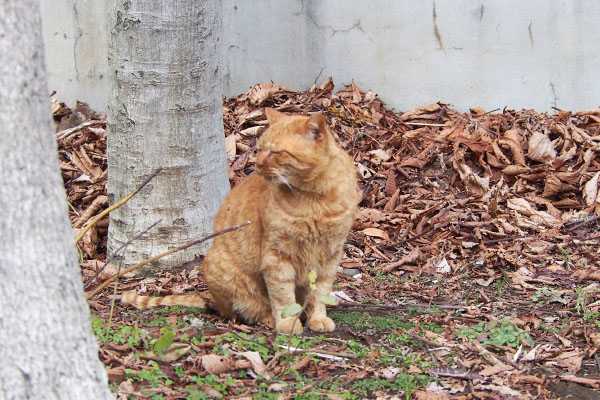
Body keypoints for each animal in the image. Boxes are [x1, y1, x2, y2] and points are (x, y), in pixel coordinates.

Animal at [120, 108, 356, 334]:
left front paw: (318, 318)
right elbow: (282, 296)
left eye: (276, 152)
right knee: (247, 309)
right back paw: (269, 319)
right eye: (259, 149)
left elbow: (319, 294)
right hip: (223, 271)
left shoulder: (330, 255)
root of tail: (213, 300)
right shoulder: (277, 256)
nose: (257, 164)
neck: (314, 199)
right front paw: (288, 323)